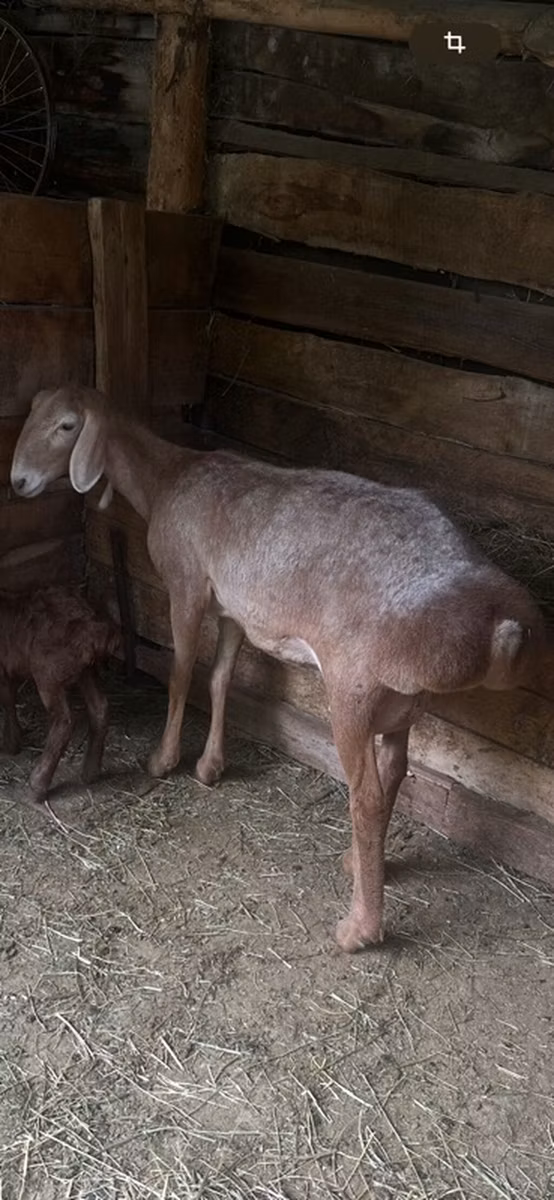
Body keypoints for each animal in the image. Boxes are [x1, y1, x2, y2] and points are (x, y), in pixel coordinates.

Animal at [0, 584, 120, 802]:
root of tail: (95, 628)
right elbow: (8, 700)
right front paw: (12, 741)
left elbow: (6, 699)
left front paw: (10, 742)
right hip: (86, 669)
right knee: (100, 707)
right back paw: (90, 772)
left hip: (47, 670)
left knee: (64, 720)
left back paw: (37, 784)